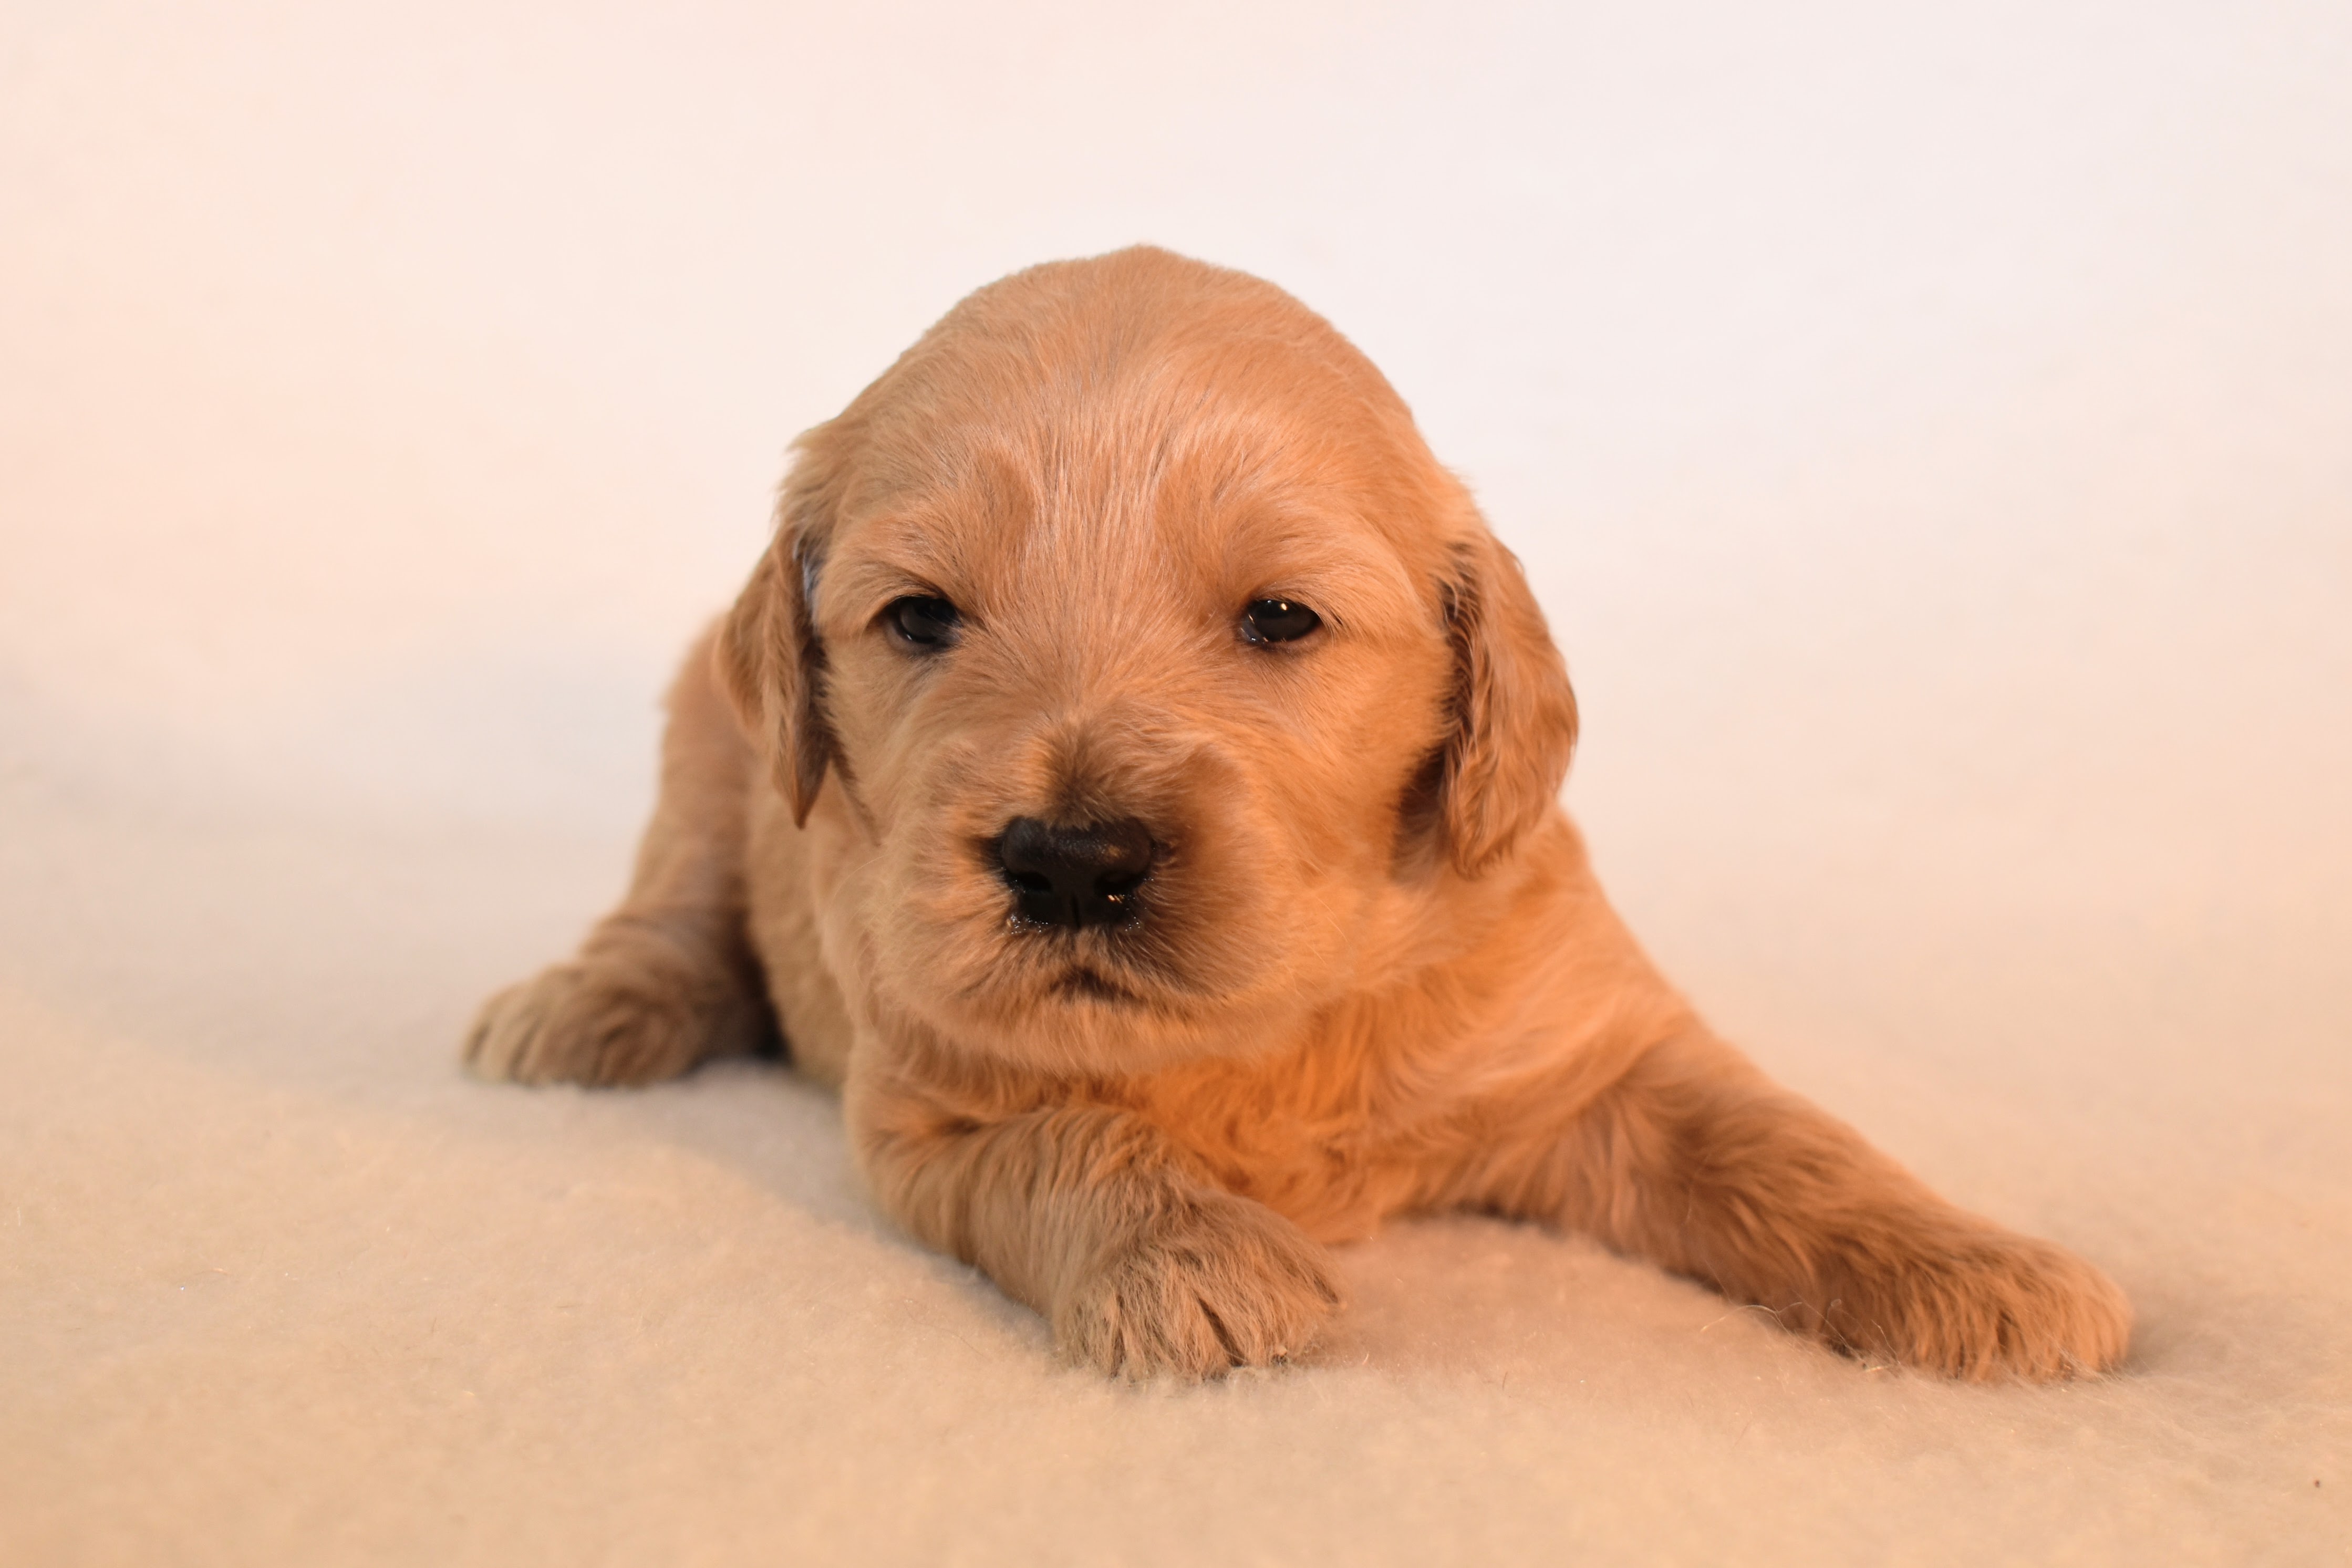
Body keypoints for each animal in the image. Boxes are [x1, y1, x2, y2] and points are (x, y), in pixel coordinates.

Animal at [459, 245, 2136, 1382]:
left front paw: (1978, 1267)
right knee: (675, 917)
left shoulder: (1599, 1052)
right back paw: (576, 1012)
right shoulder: (933, 1104)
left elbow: (1784, 1142)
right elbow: (1069, 1139)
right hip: (704, 746)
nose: (1071, 862)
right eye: (920, 617)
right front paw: (1191, 1253)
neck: (1275, 1017)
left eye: (1279, 619)